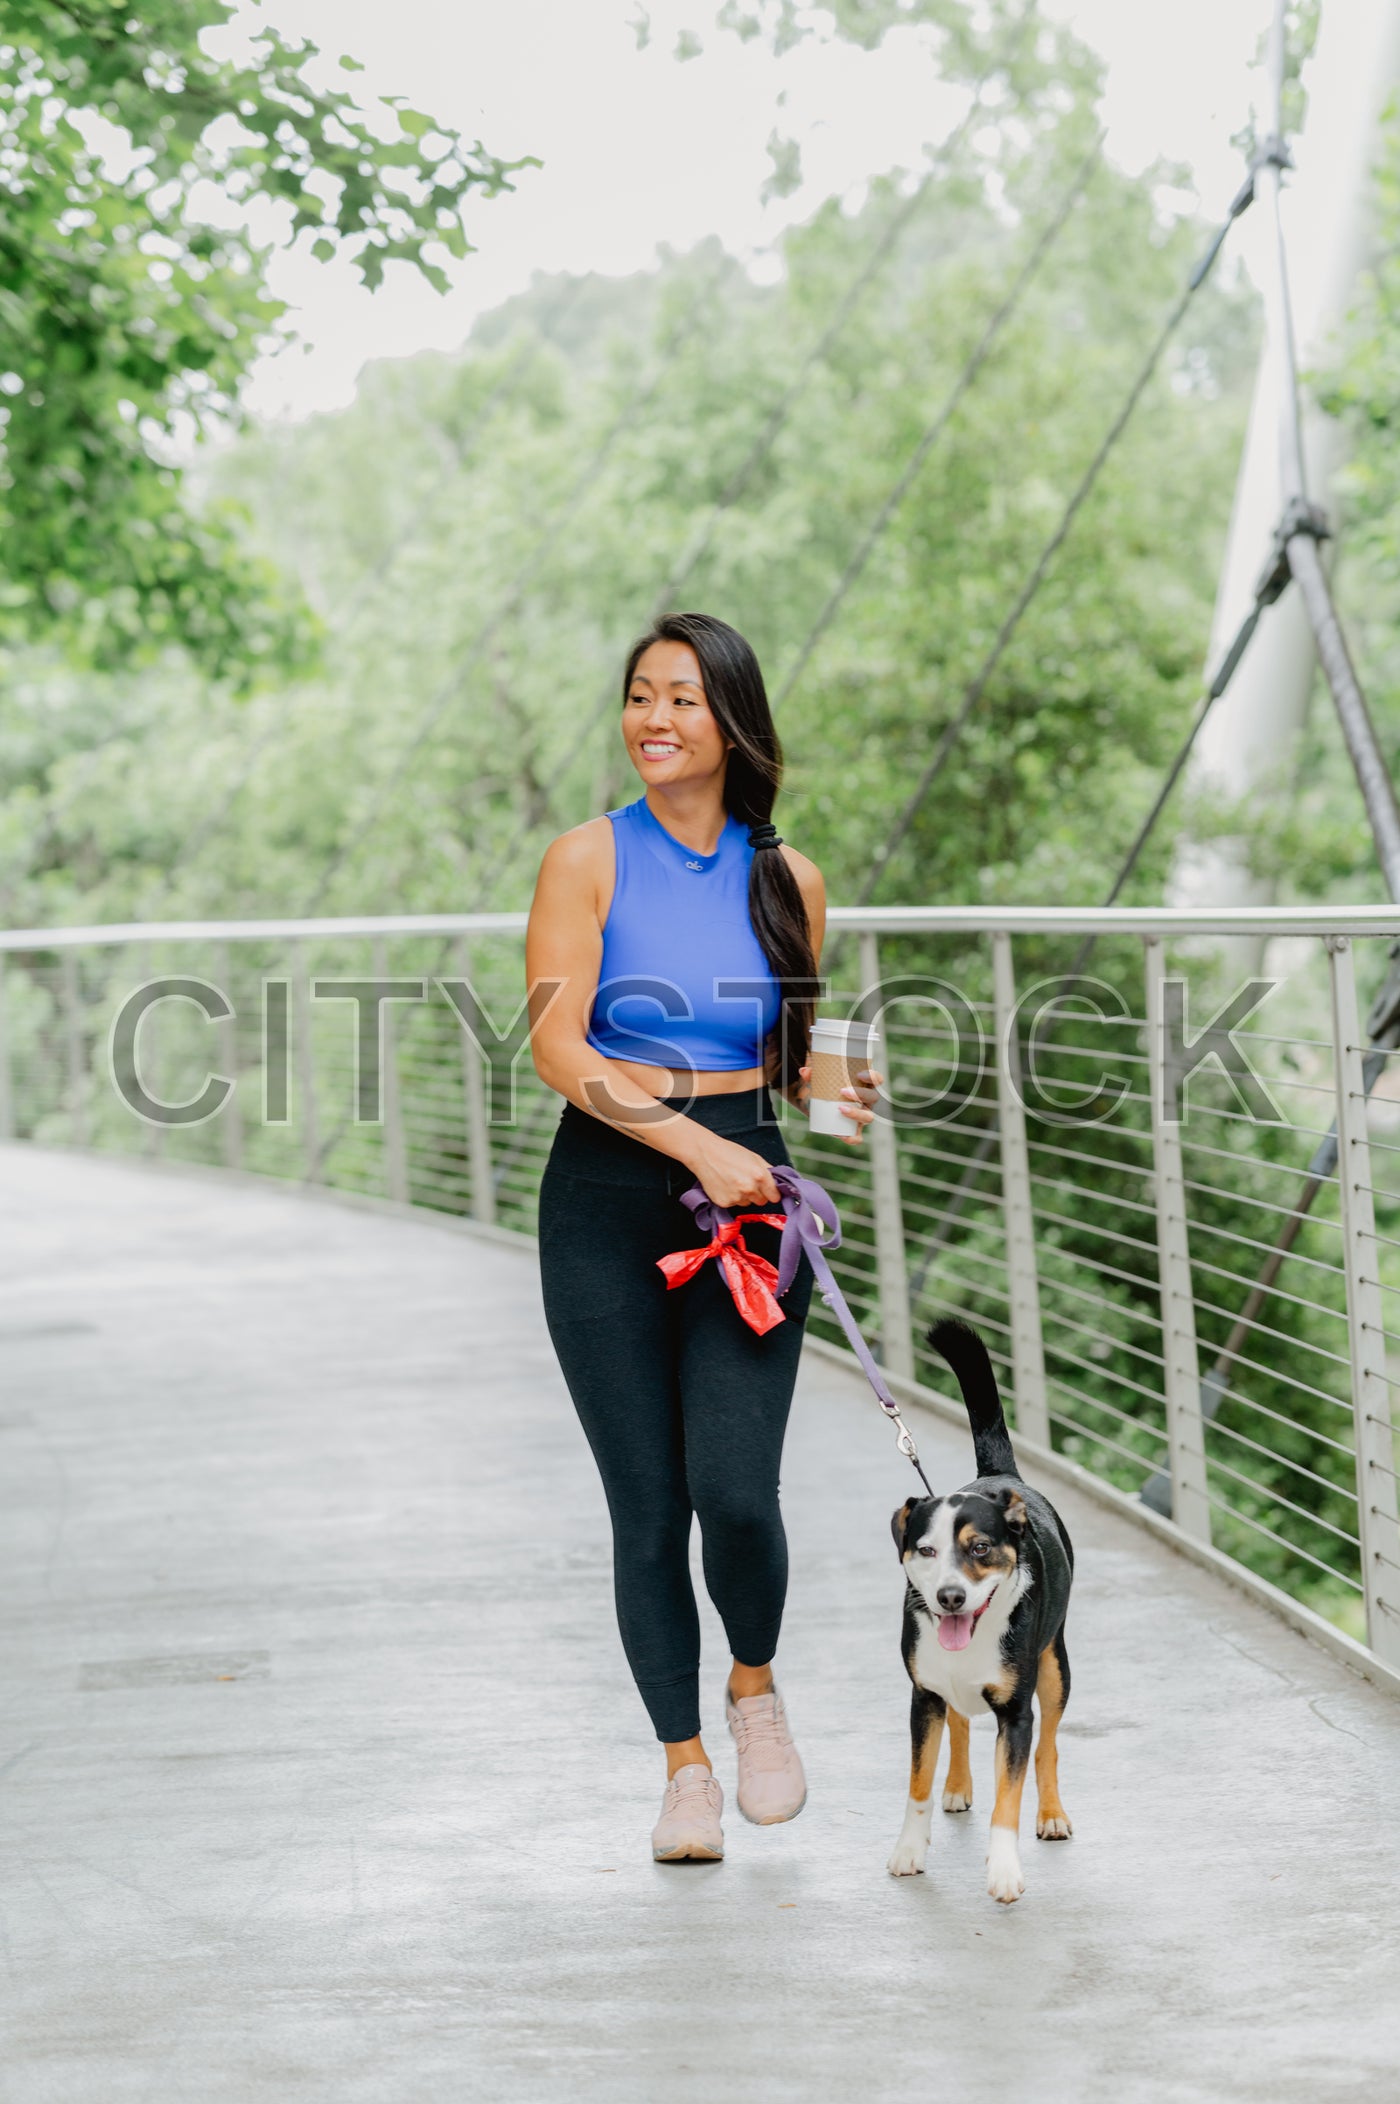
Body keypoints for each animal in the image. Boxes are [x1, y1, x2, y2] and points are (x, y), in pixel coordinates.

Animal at [888, 1321, 1073, 1902]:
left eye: (981, 1548)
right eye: (926, 1550)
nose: (950, 1597)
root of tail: (998, 1475)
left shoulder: (1015, 1715)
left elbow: (1009, 1795)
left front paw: (1004, 1869)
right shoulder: (922, 1697)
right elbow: (917, 1783)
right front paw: (909, 1850)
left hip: (1055, 1668)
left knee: (1049, 1746)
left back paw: (1052, 1814)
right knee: (960, 1722)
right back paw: (957, 1785)